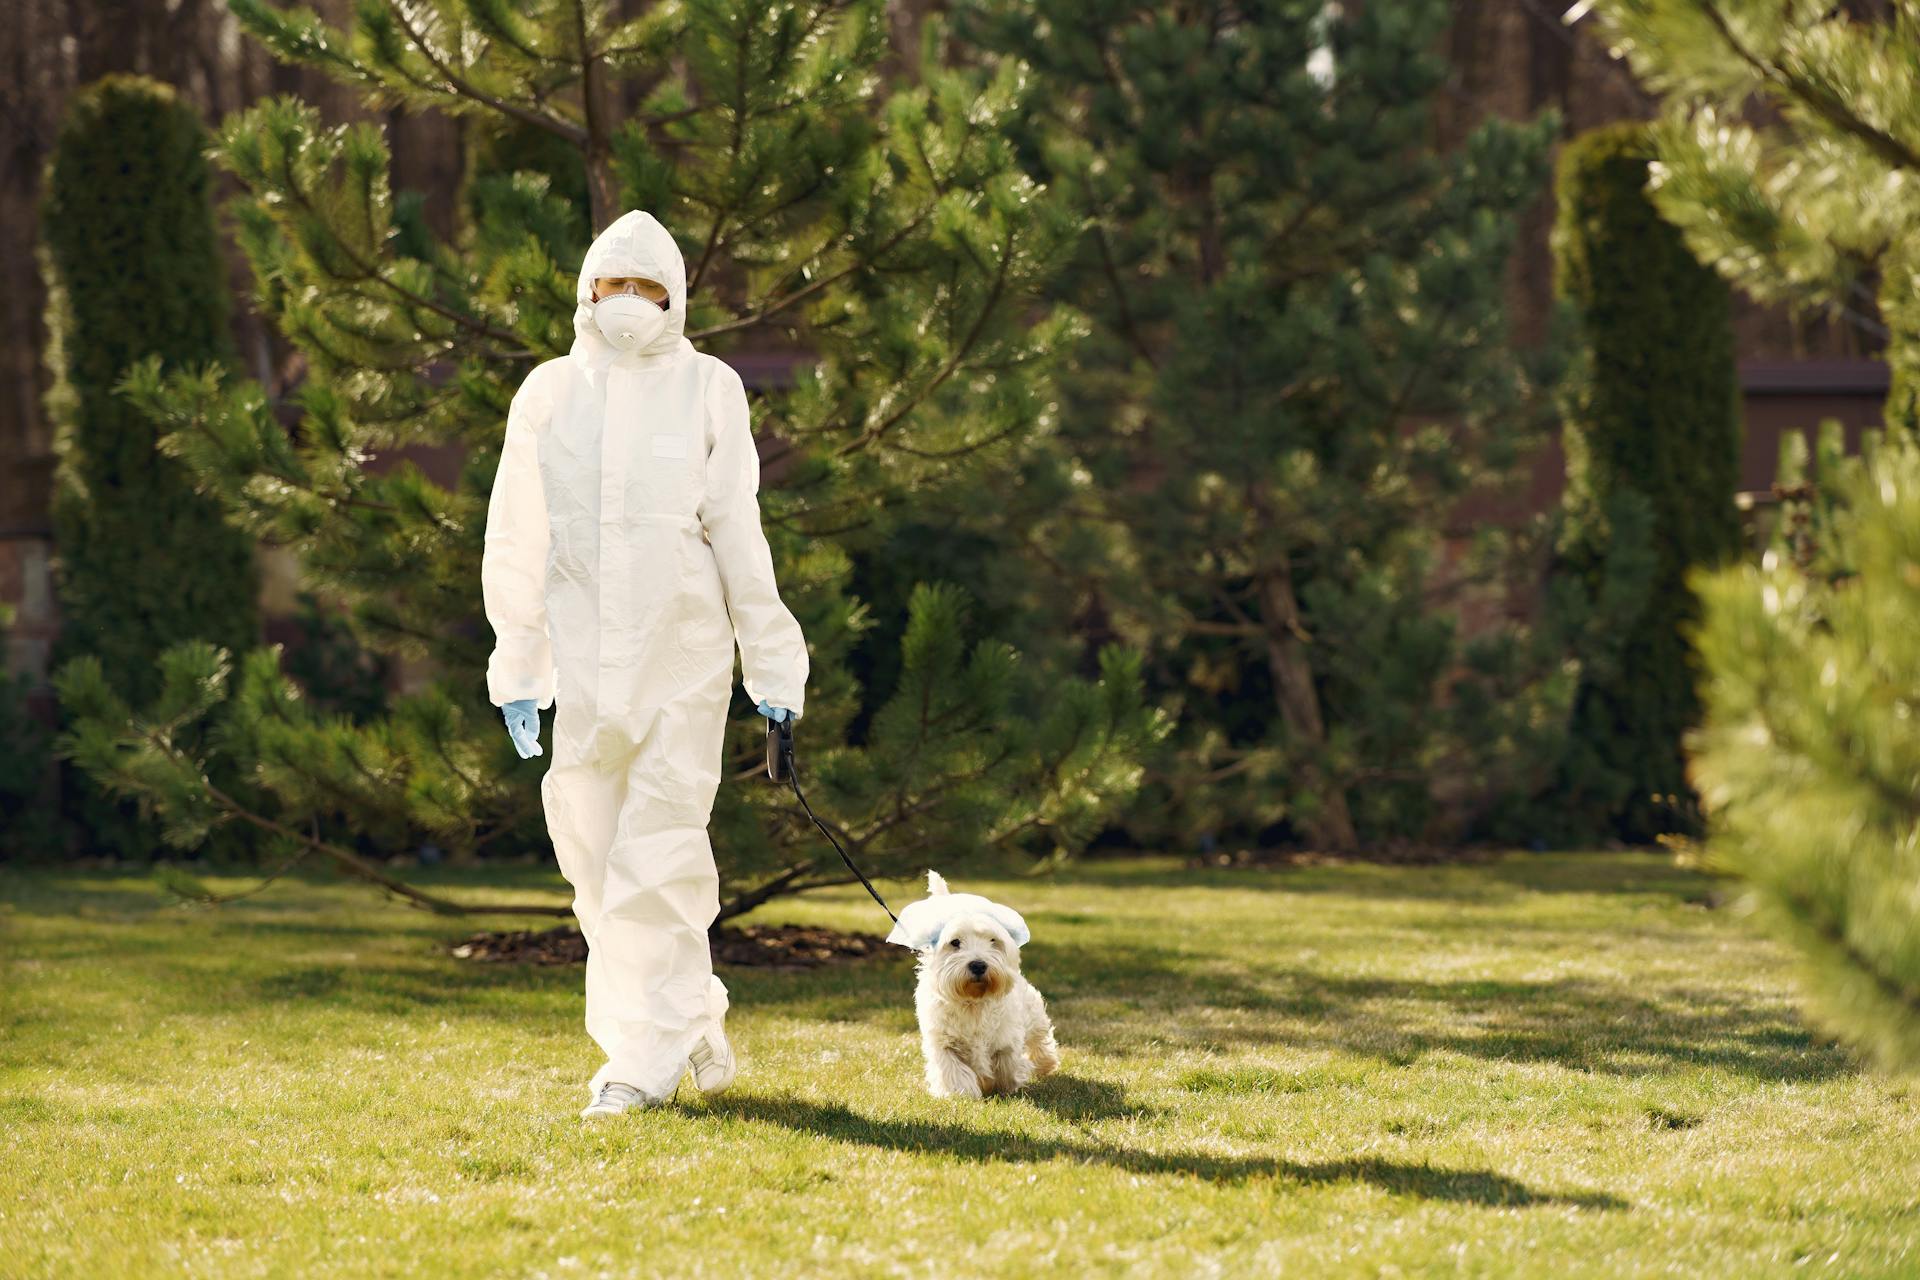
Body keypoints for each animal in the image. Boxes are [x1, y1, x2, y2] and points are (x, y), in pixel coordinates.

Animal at [887, 871, 1067, 1105]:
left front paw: (1005, 1084)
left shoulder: (1006, 1036)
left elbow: (1007, 1063)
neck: (973, 1002)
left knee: (1039, 1036)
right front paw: (960, 1093)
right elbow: (953, 1070)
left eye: (993, 941)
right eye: (955, 942)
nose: (978, 965)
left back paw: (1046, 1063)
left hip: (1032, 1011)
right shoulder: (943, 1041)